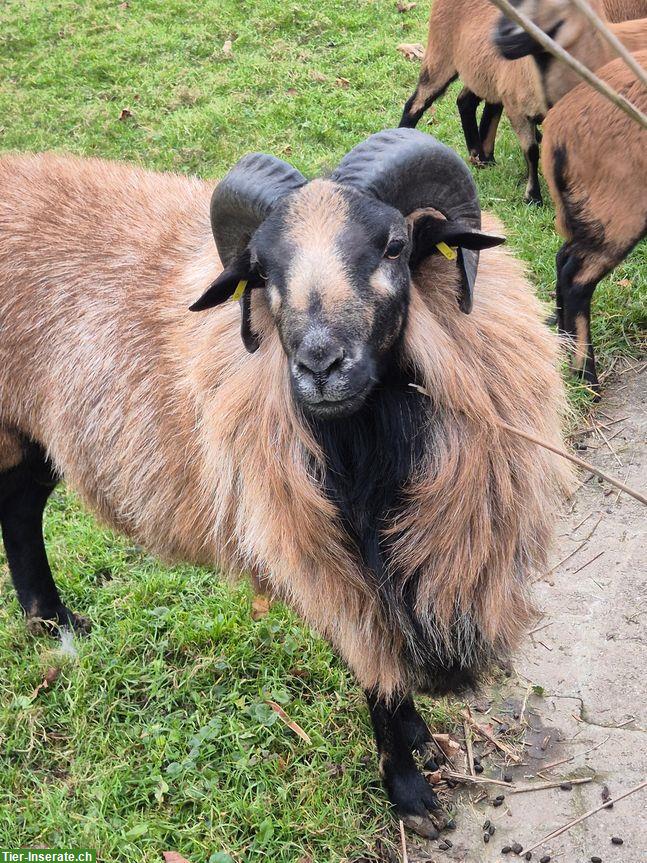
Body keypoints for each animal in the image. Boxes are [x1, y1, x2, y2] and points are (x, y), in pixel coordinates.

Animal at [0, 128, 572, 836]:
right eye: (261, 272)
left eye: (394, 245)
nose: (319, 366)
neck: (368, 449)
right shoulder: (332, 564)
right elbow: (375, 669)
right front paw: (410, 793)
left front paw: (417, 743)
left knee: (18, 507)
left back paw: (54, 625)